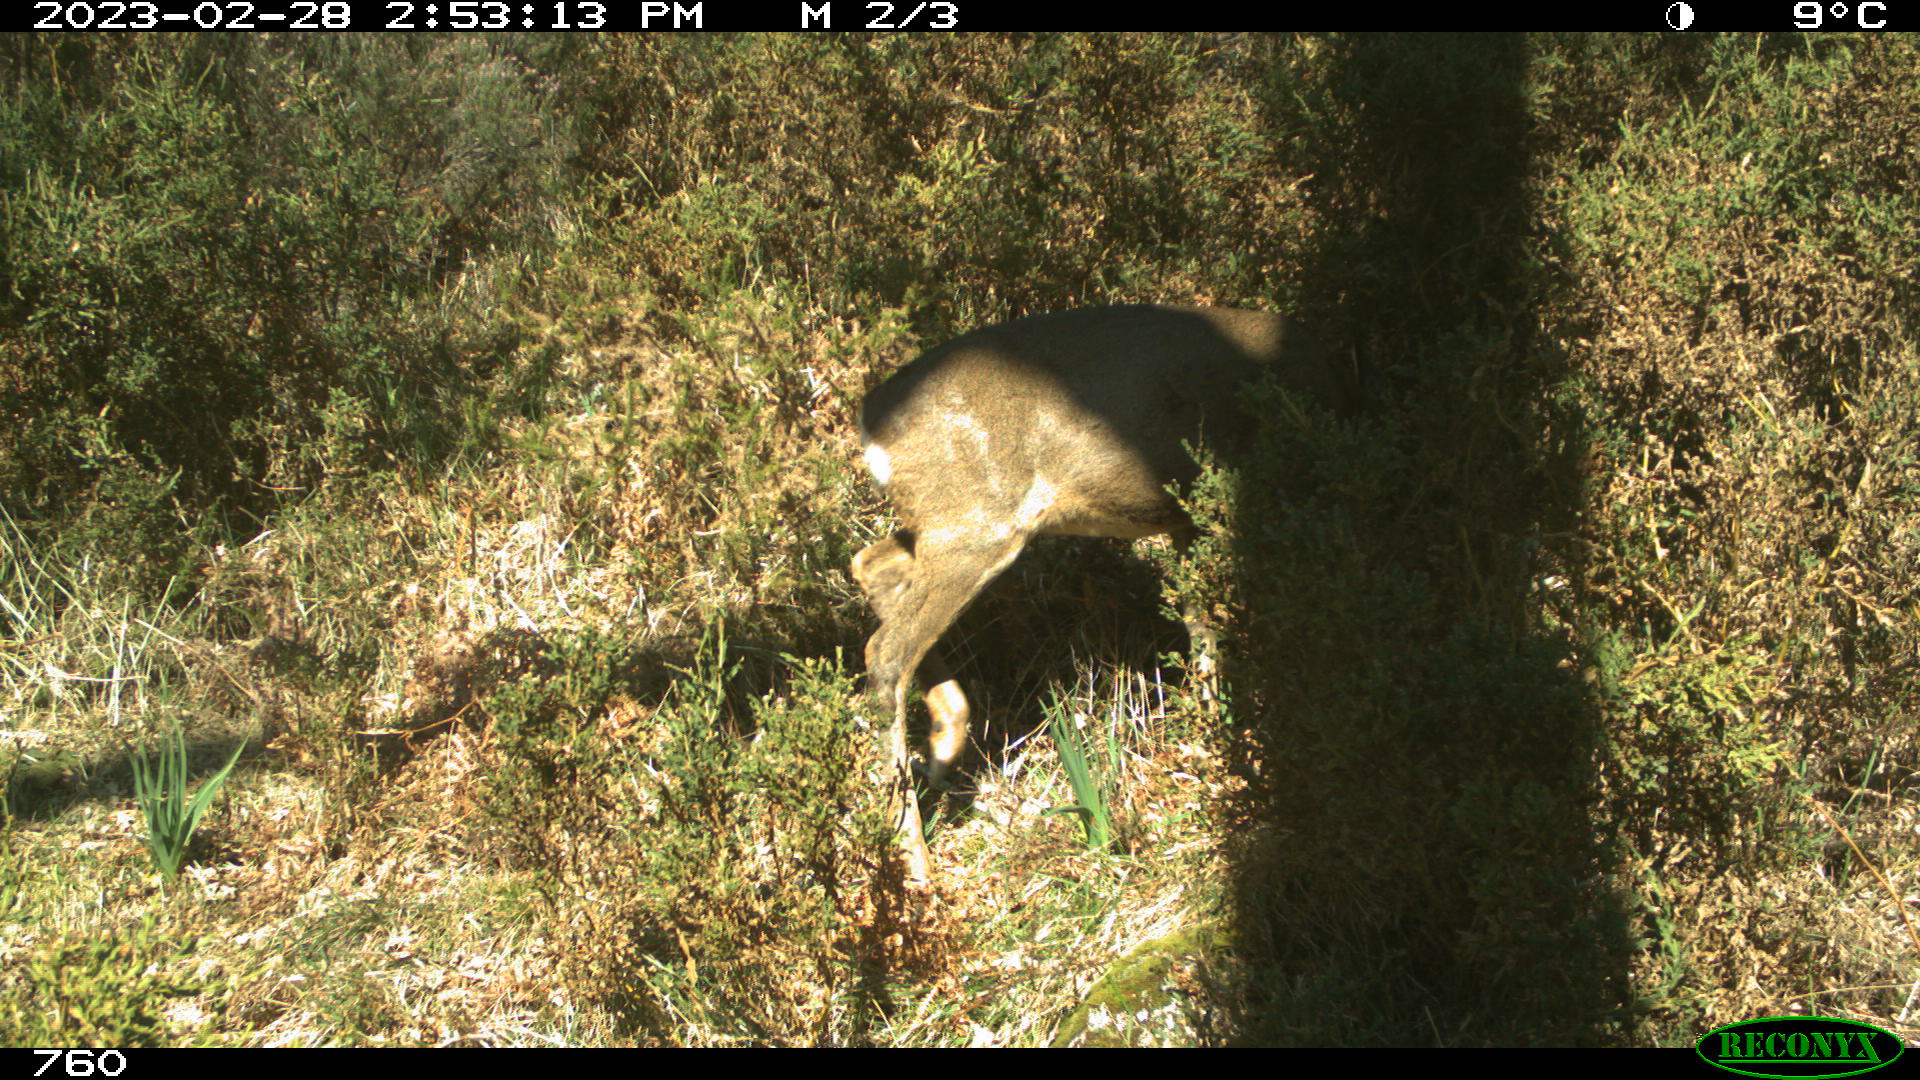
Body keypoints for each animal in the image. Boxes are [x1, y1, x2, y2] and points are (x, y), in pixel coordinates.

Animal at [851, 304, 1347, 883]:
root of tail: (871, 420)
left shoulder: (1187, 521)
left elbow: (1203, 622)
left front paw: (1217, 734)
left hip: (943, 522)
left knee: (872, 565)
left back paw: (943, 746)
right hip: (975, 520)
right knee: (887, 649)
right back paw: (915, 864)